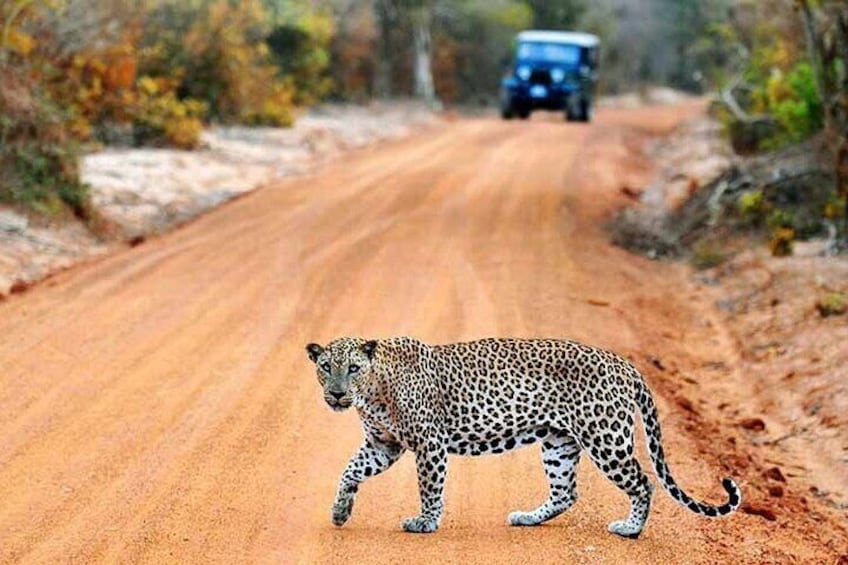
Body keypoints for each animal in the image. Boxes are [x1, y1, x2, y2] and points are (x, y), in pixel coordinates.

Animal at [306, 334, 744, 536]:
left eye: (353, 368)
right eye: (326, 367)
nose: (338, 394)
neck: (374, 391)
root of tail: (624, 364)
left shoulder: (429, 444)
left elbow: (429, 488)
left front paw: (425, 522)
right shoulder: (383, 445)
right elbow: (350, 471)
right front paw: (340, 511)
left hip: (606, 437)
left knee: (642, 481)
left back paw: (630, 529)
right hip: (558, 442)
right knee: (566, 492)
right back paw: (528, 518)